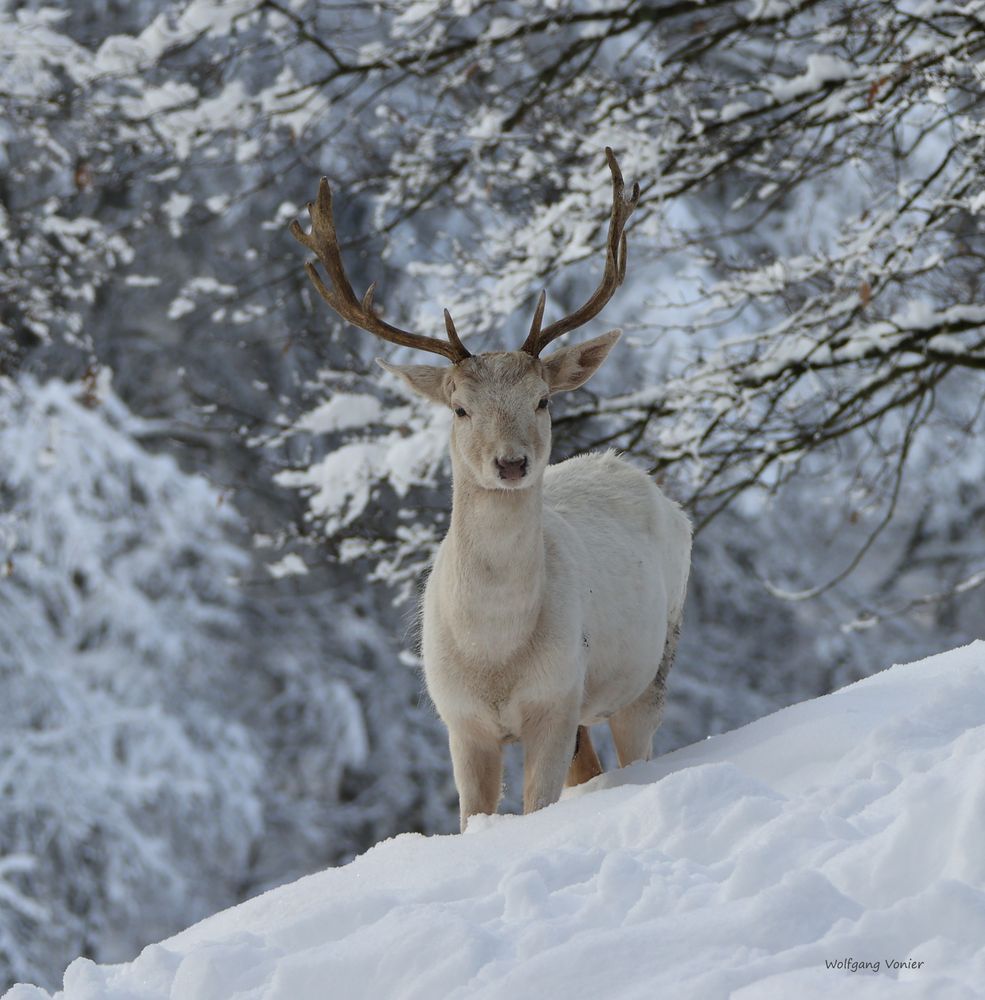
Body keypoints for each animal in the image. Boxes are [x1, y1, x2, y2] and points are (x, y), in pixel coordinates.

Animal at [292, 148, 692, 828]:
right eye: (459, 408)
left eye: (542, 399)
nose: (511, 463)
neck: (494, 654)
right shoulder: (460, 720)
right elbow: (473, 817)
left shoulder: (556, 698)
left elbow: (537, 805)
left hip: (654, 660)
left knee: (637, 742)